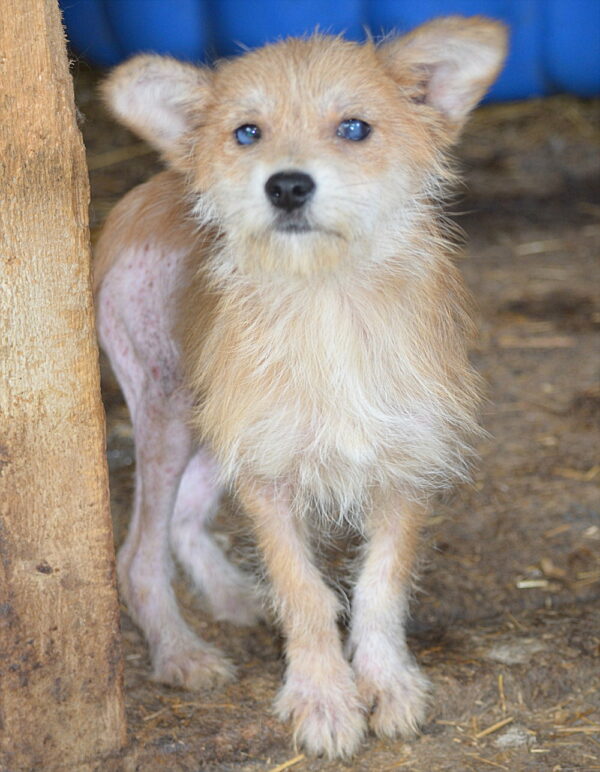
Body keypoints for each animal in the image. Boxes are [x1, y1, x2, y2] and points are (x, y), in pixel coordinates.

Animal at [94, 18, 506, 760]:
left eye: (354, 128)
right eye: (246, 133)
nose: (287, 186)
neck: (327, 299)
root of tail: (148, 189)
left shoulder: (402, 468)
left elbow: (379, 586)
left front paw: (388, 684)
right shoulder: (268, 473)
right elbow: (306, 592)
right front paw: (323, 699)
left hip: (209, 424)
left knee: (186, 519)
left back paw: (233, 598)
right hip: (168, 412)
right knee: (139, 554)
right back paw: (181, 653)